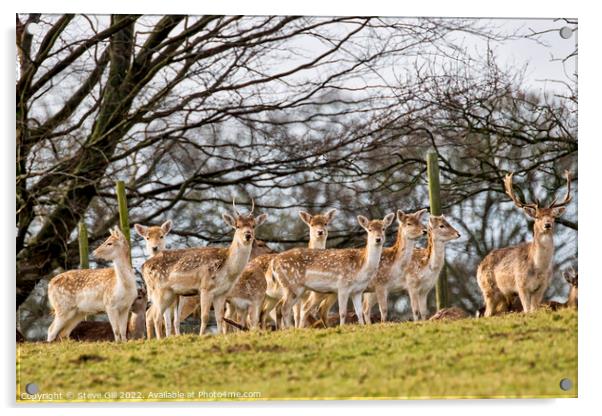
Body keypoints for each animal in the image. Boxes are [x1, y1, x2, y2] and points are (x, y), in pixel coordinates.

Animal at [141, 200, 264, 336]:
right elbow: (204, 317)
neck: (228, 270)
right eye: (237, 226)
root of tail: (143, 266)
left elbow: (220, 318)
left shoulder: (221, 293)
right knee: (155, 316)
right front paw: (201, 336)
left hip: (170, 294)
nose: (248, 235)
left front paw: (220, 336)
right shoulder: (205, 287)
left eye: (253, 225)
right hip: (159, 291)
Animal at [476, 171, 568, 316]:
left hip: (504, 296)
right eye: (537, 217)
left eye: (553, 217)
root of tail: (480, 265)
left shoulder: (542, 287)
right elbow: (527, 310)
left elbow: (533, 310)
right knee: (486, 314)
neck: (538, 268)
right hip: (488, 289)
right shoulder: (521, 285)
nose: (547, 225)